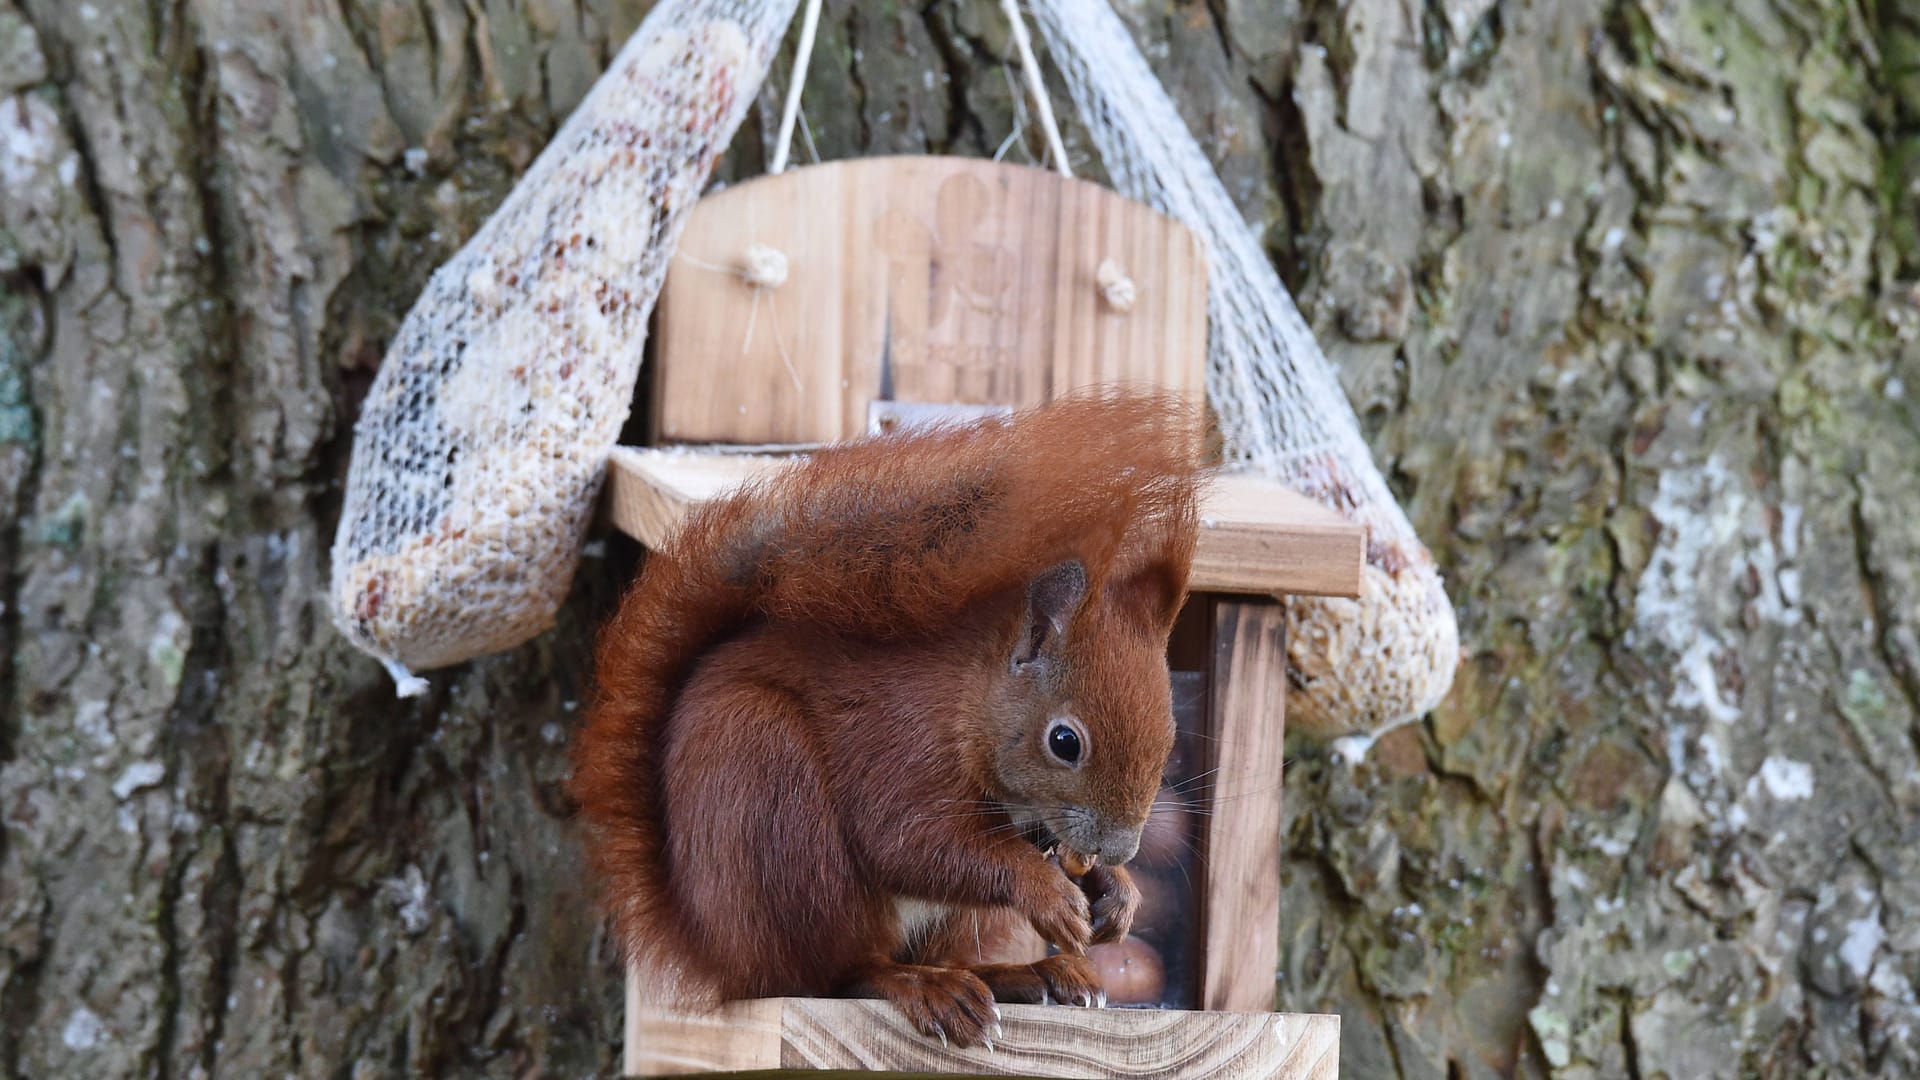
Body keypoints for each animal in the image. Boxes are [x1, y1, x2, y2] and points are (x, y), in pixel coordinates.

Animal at [564, 390, 1198, 1037]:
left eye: (1169, 738)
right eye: (1065, 742)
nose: (1120, 848)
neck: (966, 702)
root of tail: (716, 951)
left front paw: (1116, 891)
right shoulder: (901, 742)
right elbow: (906, 841)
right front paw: (1047, 892)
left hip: (955, 917)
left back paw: (1025, 973)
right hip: (776, 804)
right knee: (840, 971)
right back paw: (925, 986)